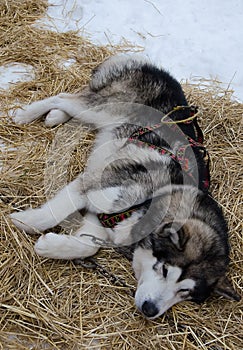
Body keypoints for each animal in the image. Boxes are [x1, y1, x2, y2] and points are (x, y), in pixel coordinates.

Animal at [9, 55, 239, 320]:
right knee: (64, 97)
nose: (151, 310)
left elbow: (89, 246)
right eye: (164, 270)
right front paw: (27, 221)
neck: (152, 200)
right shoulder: (95, 184)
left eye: (185, 293)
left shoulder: (103, 219)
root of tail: (154, 67)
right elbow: (54, 212)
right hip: (105, 108)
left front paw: (53, 246)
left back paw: (55, 116)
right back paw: (28, 114)